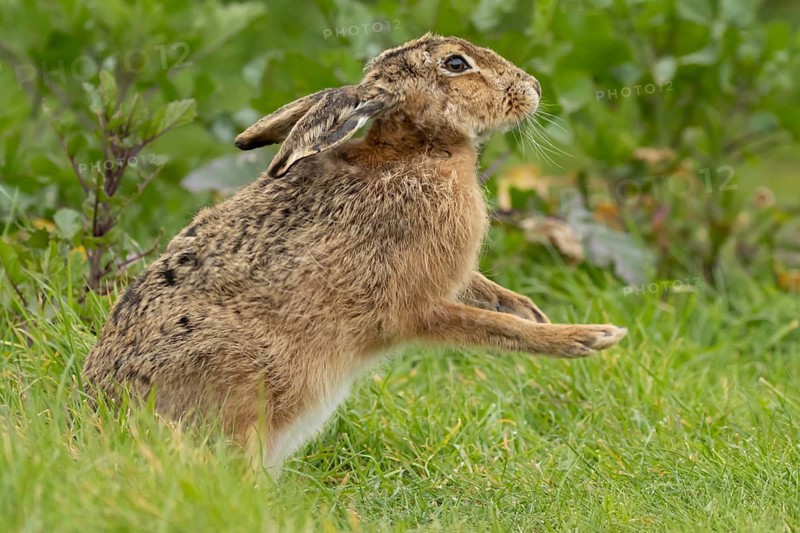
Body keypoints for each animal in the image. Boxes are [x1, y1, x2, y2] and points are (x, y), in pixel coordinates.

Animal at [82, 33, 627, 474]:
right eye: (455, 64)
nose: (532, 87)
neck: (420, 151)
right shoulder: (414, 307)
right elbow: (493, 329)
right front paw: (587, 338)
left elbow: (489, 296)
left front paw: (532, 310)